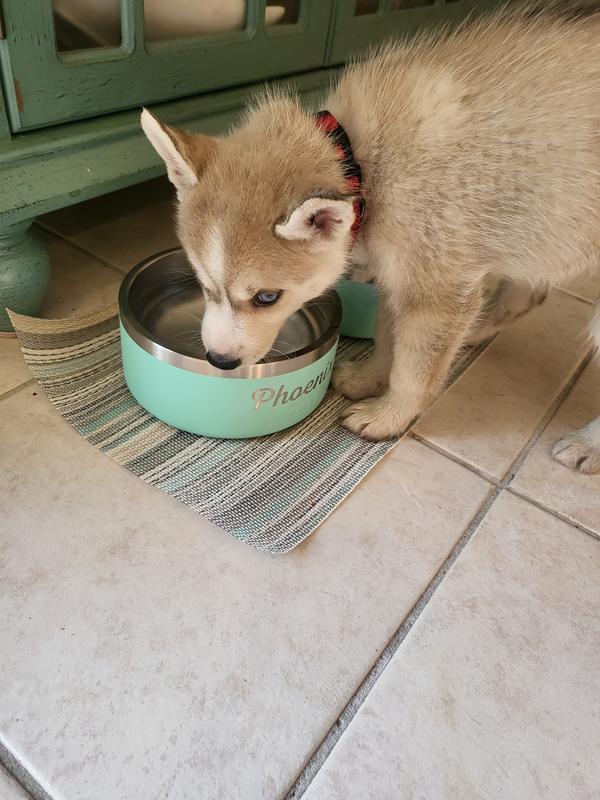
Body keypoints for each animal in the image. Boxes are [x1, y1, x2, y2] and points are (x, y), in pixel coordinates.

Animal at [142, 3, 600, 472]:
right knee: (528, 292)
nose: (220, 361)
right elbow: (387, 336)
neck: (360, 164)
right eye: (202, 283)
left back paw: (588, 445)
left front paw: (390, 416)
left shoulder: (437, 289)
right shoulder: (401, 275)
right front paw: (370, 377)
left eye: (267, 297)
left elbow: (414, 371)